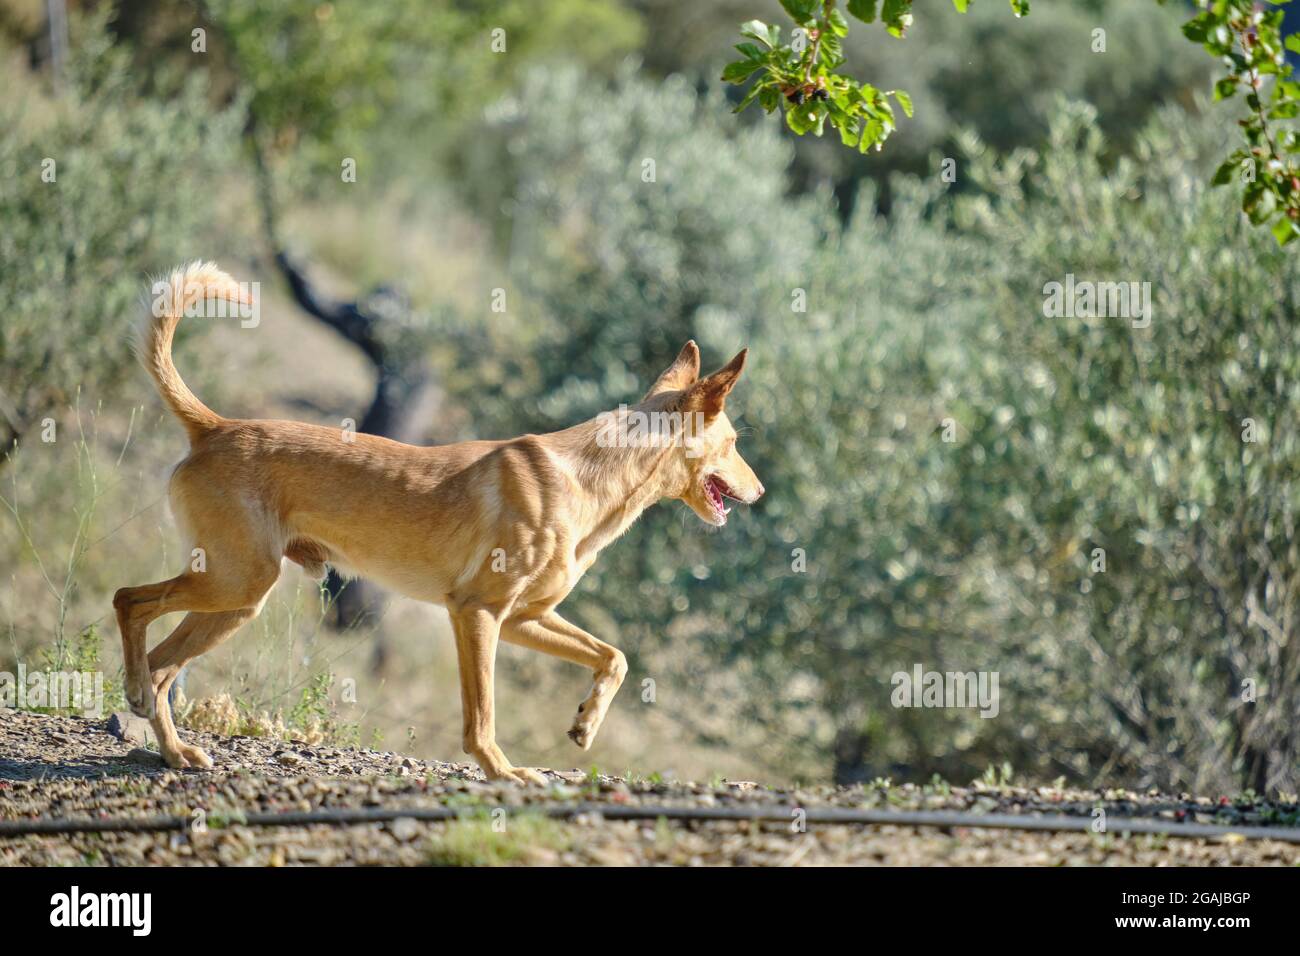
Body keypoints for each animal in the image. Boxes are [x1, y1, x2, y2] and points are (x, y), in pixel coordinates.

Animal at [114, 264, 759, 785]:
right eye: (732, 444)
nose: (760, 490)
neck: (586, 482)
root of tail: (215, 426)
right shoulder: (477, 612)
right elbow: (483, 716)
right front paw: (502, 771)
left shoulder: (523, 618)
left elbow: (614, 657)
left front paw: (585, 723)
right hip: (237, 580)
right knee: (129, 603)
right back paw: (139, 696)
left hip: (236, 597)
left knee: (163, 666)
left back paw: (173, 749)